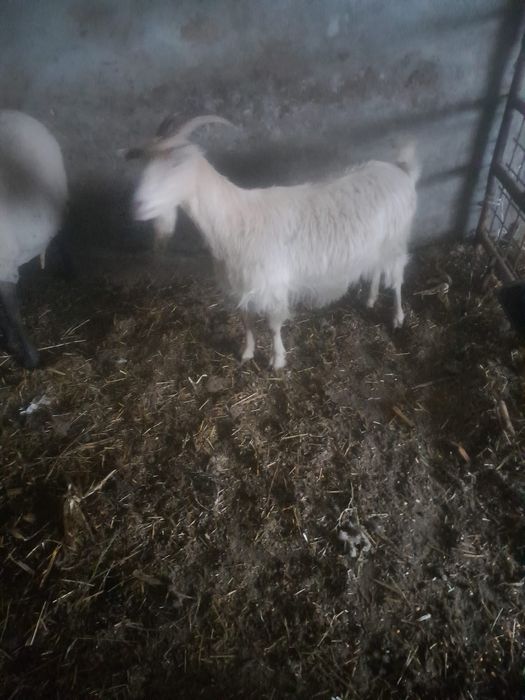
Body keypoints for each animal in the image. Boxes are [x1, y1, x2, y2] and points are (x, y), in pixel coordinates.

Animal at [128, 116, 418, 368]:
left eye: (176, 164)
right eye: (145, 163)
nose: (137, 206)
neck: (234, 220)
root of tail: (401, 171)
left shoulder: (272, 284)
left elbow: (273, 325)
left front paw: (277, 360)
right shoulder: (241, 286)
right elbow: (246, 320)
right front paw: (246, 353)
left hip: (397, 238)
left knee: (398, 278)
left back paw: (397, 317)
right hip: (378, 243)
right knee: (377, 268)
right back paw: (370, 299)